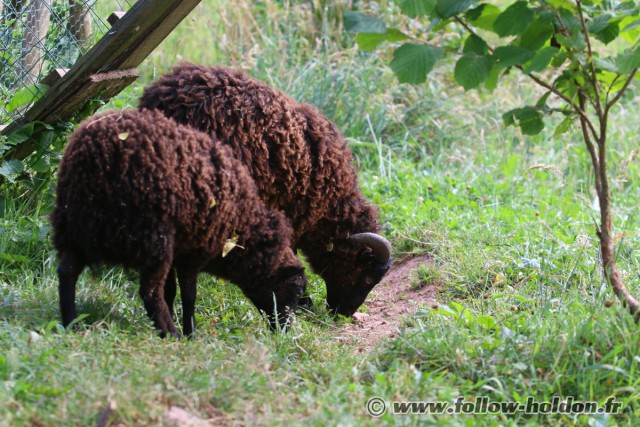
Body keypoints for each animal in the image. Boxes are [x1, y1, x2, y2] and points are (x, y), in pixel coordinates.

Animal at [51, 108, 306, 338]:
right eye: (295, 291)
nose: (284, 333)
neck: (241, 231)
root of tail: (91, 156)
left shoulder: (182, 249)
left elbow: (171, 291)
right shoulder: (194, 251)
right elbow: (188, 294)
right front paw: (190, 332)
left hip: (74, 226)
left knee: (66, 271)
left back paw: (71, 322)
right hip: (151, 238)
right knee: (149, 292)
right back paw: (169, 333)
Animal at [138, 64, 392, 318]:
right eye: (366, 275)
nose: (342, 313)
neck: (330, 205)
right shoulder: (292, 216)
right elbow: (291, 252)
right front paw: (305, 301)